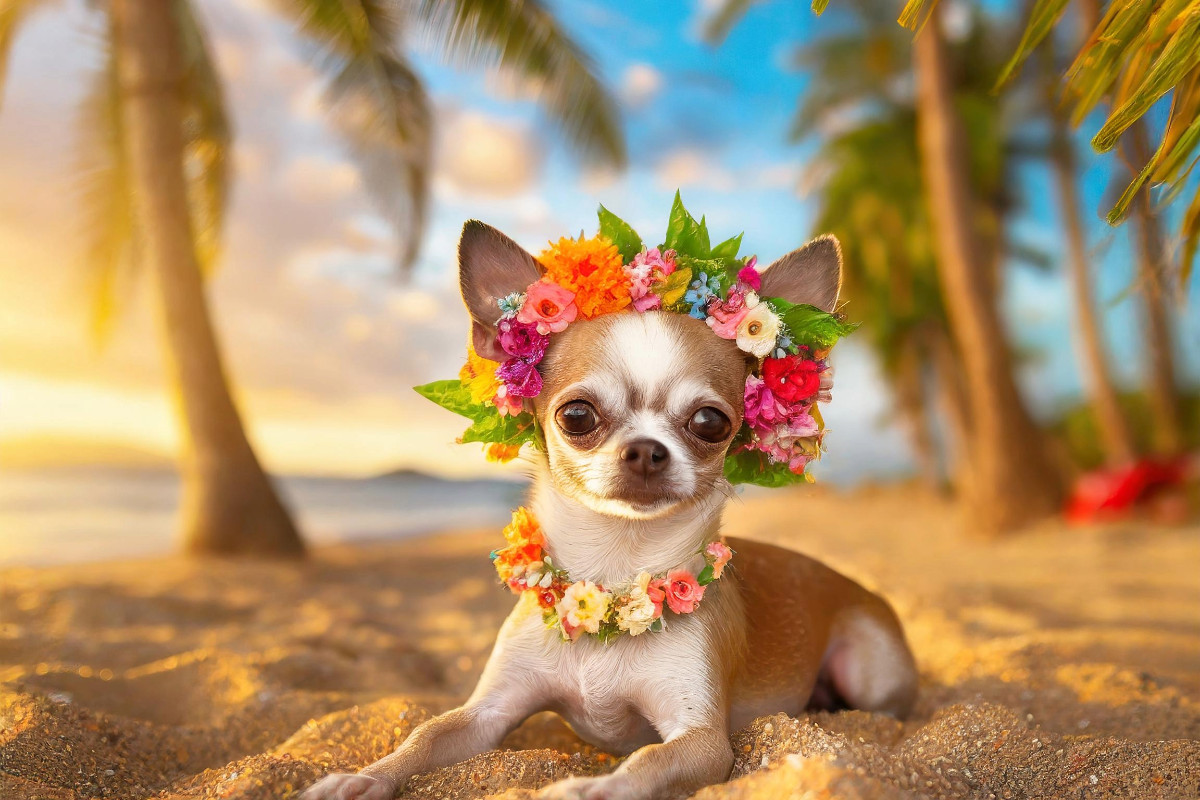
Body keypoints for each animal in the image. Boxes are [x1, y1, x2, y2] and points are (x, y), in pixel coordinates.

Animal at [304, 221, 912, 800]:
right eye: (576, 415)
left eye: (710, 422)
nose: (645, 450)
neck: (615, 567)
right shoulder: (486, 714)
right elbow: (426, 733)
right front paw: (363, 777)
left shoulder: (701, 740)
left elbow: (647, 762)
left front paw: (591, 787)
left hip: (867, 667)